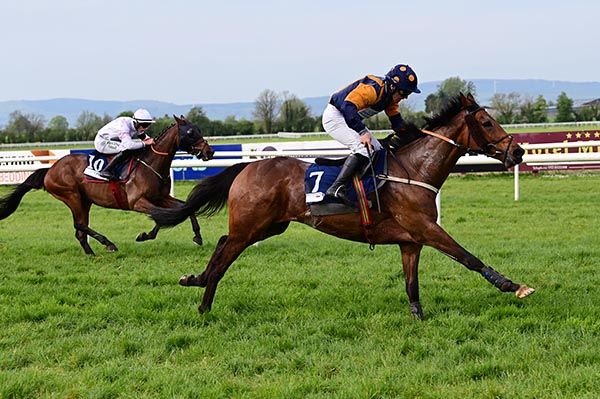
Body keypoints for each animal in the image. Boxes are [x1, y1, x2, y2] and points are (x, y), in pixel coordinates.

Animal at [0, 115, 214, 256]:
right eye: (190, 132)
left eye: (199, 129)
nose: (209, 152)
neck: (151, 164)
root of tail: (50, 169)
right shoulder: (137, 201)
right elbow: (160, 215)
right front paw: (144, 235)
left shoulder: (161, 197)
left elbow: (184, 208)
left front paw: (197, 237)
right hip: (71, 195)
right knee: (79, 224)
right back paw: (108, 244)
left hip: (84, 200)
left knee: (80, 230)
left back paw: (91, 253)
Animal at [150, 93, 536, 318]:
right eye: (486, 122)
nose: (518, 152)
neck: (413, 169)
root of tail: (247, 166)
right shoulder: (427, 228)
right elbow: (468, 257)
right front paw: (513, 285)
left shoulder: (411, 240)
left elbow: (411, 283)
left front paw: (418, 317)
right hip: (251, 225)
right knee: (225, 253)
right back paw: (202, 292)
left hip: (268, 225)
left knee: (221, 245)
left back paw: (200, 292)